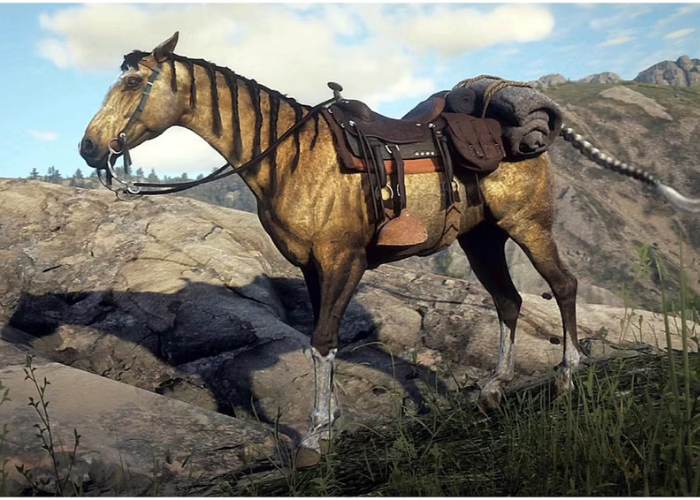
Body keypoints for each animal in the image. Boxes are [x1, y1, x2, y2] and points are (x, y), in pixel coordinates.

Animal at [79, 32, 700, 467]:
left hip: (529, 226)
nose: (88, 148)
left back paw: (570, 377)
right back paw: (492, 389)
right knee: (509, 302)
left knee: (563, 286)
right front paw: (327, 425)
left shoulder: (343, 260)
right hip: (481, 239)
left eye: (132, 85)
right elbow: (322, 344)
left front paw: (314, 437)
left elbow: (322, 341)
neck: (293, 157)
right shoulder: (313, 267)